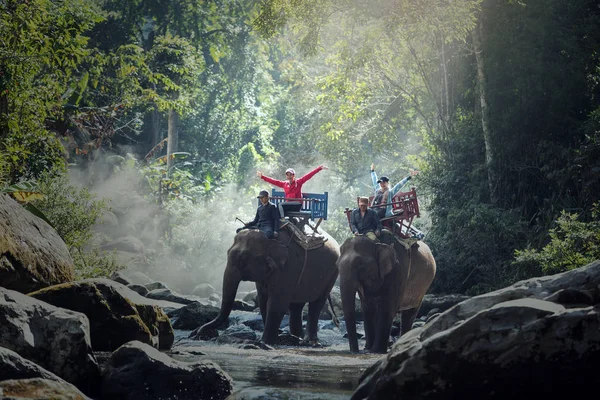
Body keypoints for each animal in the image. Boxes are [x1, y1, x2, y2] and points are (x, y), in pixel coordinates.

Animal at [192, 228, 342, 344]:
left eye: (242, 259)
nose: (197, 333)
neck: (269, 238)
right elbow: (263, 300)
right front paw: (273, 338)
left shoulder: (289, 266)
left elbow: (276, 303)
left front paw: (264, 342)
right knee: (296, 306)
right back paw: (297, 337)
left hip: (332, 274)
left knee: (316, 305)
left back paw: (310, 341)